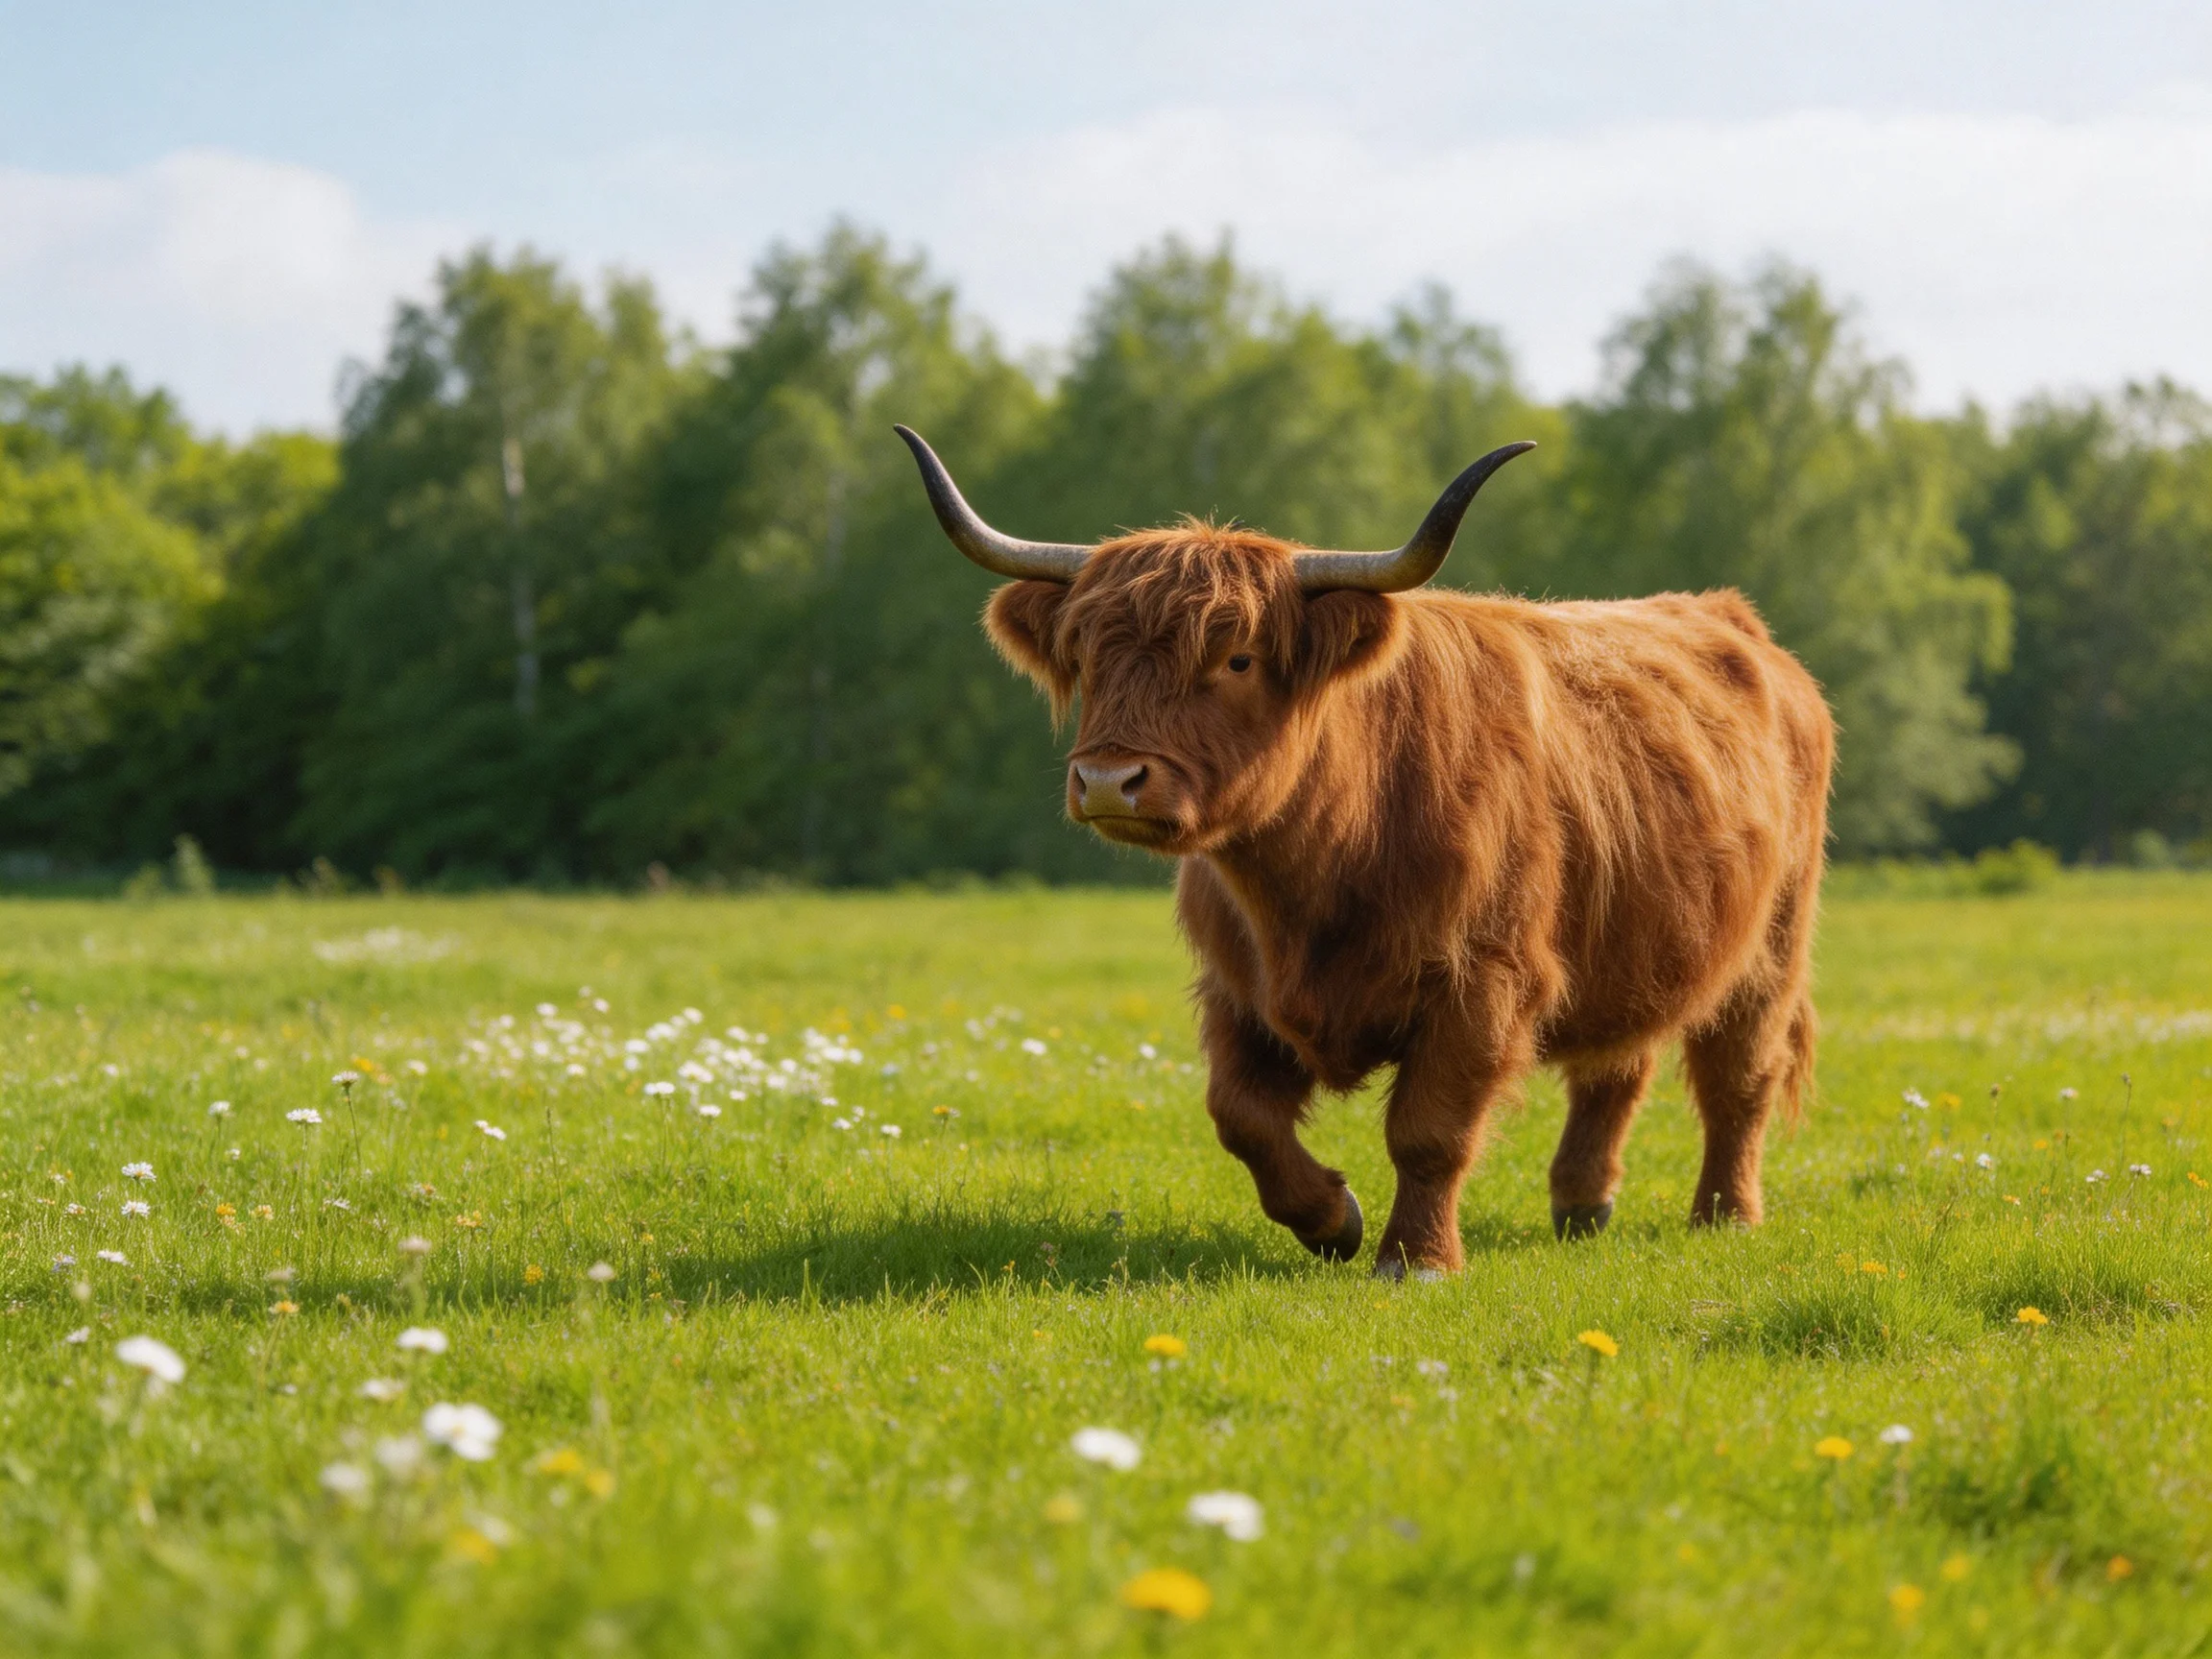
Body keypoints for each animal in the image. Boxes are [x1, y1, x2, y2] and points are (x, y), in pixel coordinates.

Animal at [896, 425, 1833, 1278]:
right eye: (1088, 657)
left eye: (1239, 658)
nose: (1105, 780)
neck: (1322, 869)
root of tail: (1731, 617)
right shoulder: (1237, 987)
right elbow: (1240, 1116)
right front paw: (1330, 1220)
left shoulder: (1483, 978)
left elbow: (1429, 1132)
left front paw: (1415, 1259)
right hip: (1634, 944)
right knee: (1617, 1065)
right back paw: (1581, 1204)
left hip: (1771, 950)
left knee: (1738, 1078)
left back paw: (1725, 1216)